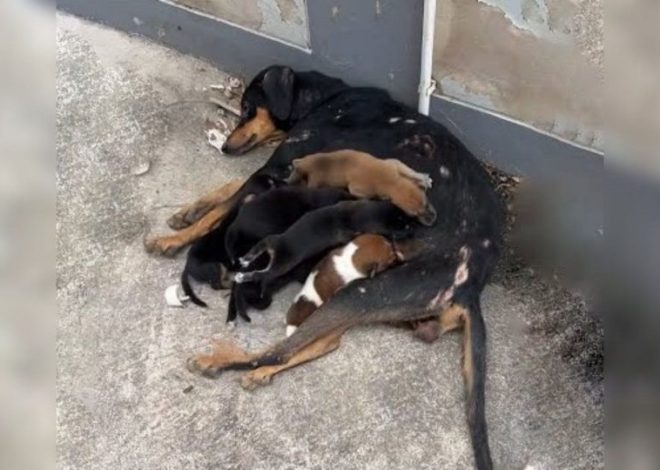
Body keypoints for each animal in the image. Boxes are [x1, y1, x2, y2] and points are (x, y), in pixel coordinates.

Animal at [288, 150, 438, 225]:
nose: (433, 220)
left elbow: (409, 171)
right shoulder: (356, 189)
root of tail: (305, 166)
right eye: (413, 215)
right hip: (315, 182)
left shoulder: (395, 163)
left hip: (312, 158)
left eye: (426, 203)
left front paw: (422, 178)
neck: (392, 183)